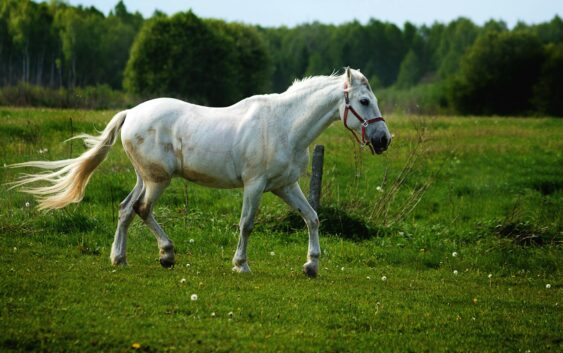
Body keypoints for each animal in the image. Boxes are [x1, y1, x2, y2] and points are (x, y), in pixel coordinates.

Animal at [12, 66, 392, 276]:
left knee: (125, 209)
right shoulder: (254, 185)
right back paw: (166, 254)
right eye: (363, 101)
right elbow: (247, 224)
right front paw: (241, 265)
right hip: (158, 180)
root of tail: (131, 113)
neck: (284, 125)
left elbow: (312, 218)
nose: (383, 140)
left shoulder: (286, 186)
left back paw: (119, 258)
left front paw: (311, 266)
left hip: (145, 177)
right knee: (142, 209)